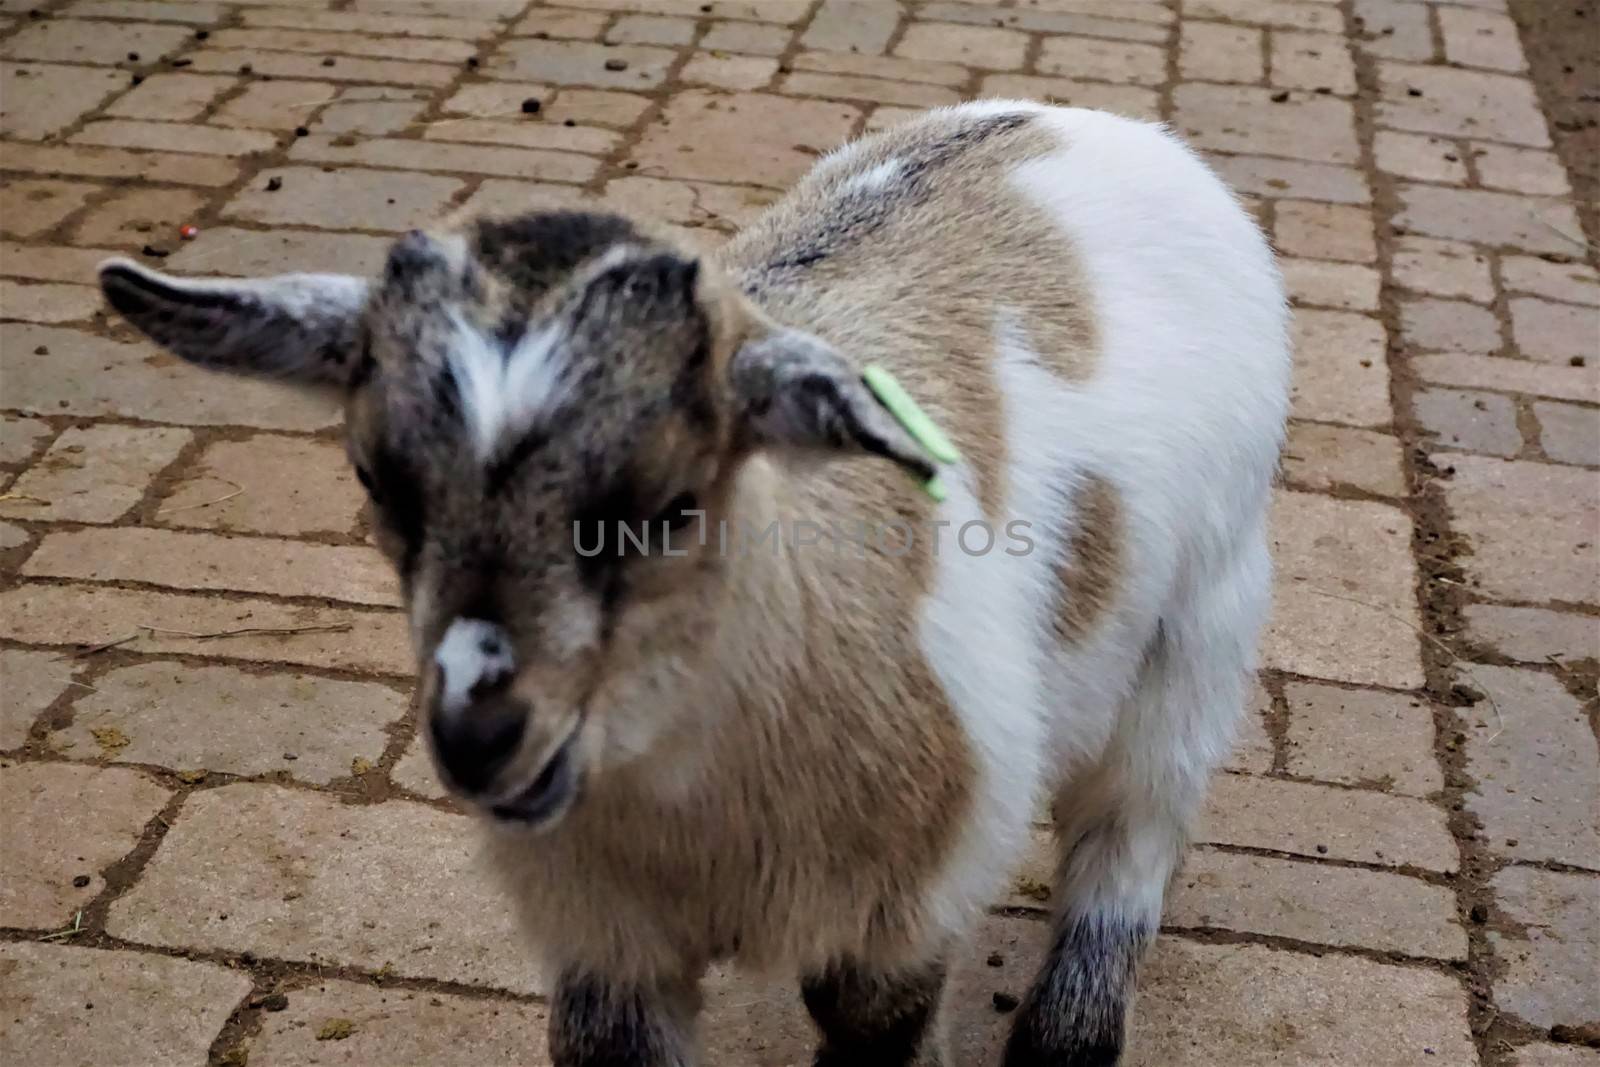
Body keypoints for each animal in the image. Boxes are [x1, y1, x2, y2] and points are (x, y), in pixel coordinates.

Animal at [100, 102, 1292, 1067]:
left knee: (1130, 830)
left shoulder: (898, 911)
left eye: (674, 500)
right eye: (376, 479)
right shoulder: (602, 935)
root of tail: (1093, 123)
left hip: (1205, 614)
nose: (483, 735)